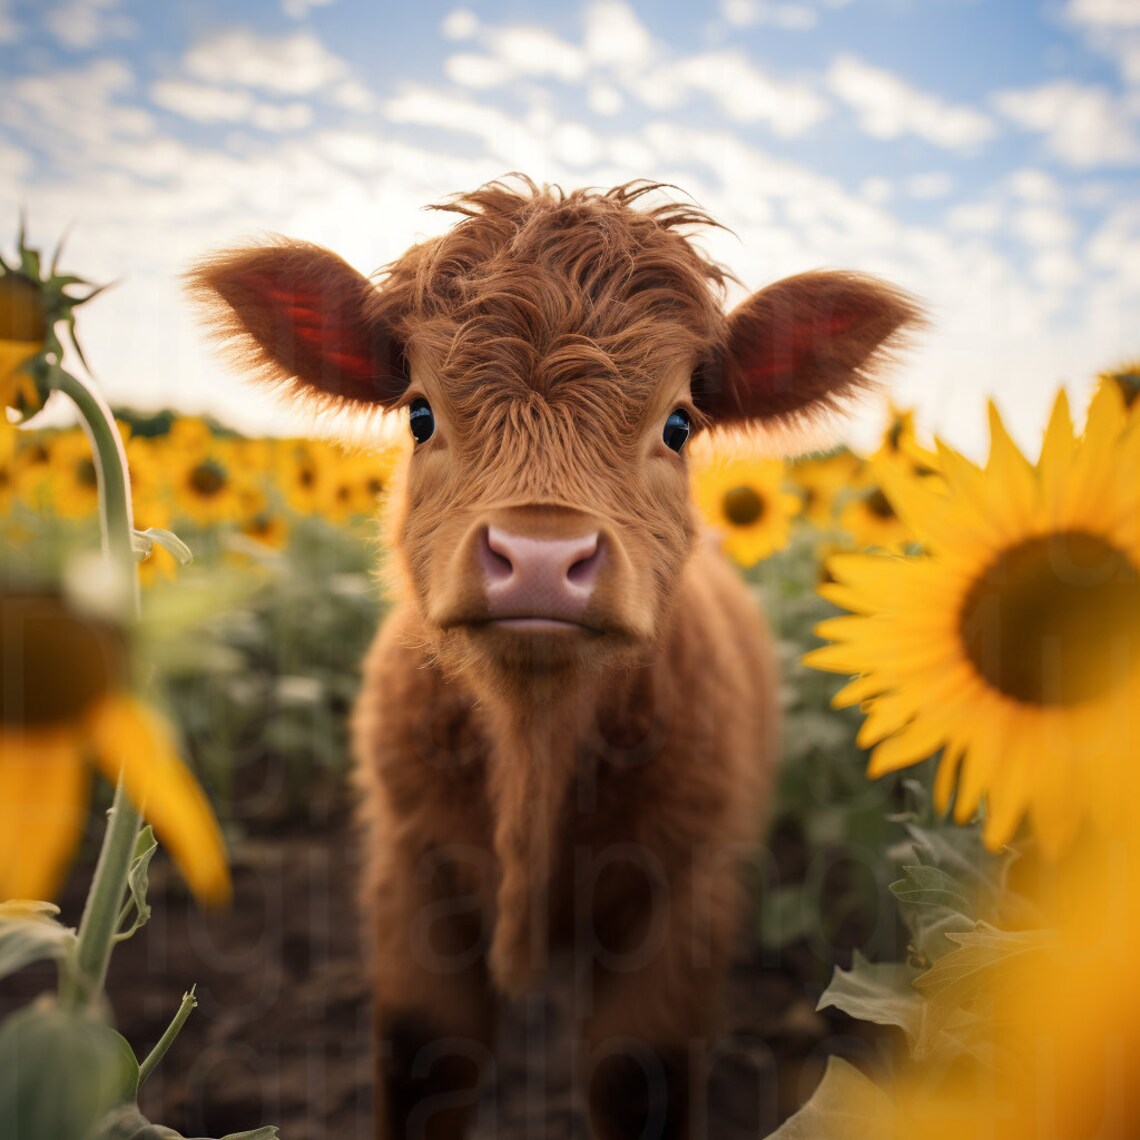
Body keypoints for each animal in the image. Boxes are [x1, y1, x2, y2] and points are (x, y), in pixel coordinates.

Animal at [189, 178, 920, 1140]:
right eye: (419, 413)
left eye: (679, 423)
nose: (540, 555)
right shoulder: (410, 874)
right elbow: (426, 1061)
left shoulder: (683, 899)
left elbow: (634, 1076)